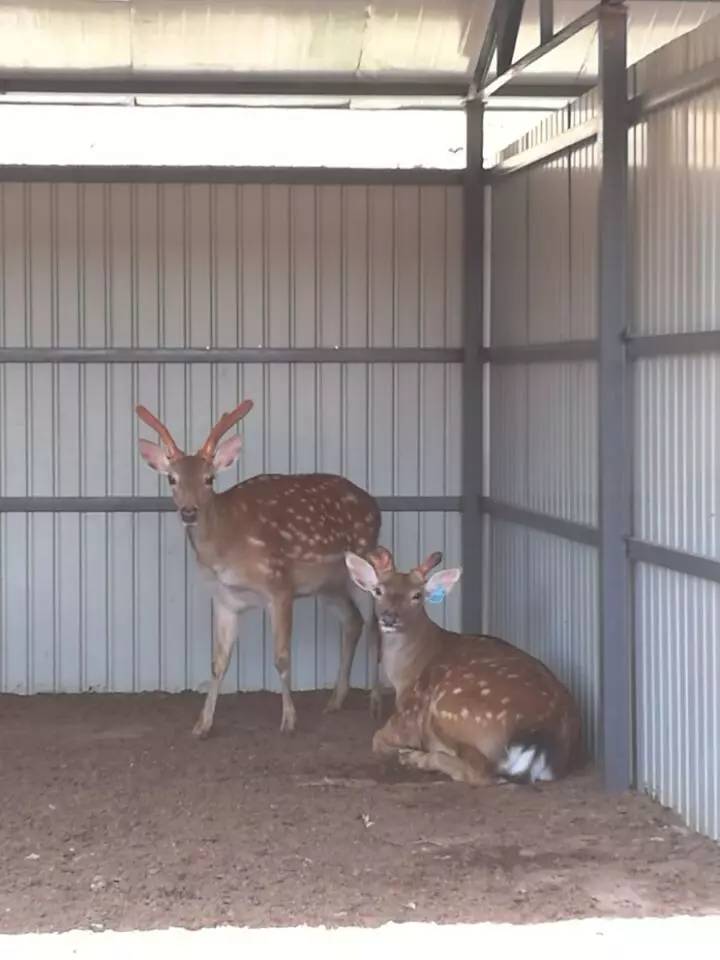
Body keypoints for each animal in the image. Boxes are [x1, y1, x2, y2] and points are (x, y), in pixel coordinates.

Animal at [136, 398, 382, 736]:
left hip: (364, 566)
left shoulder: (280, 585)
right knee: (352, 622)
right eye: (172, 479)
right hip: (329, 586)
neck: (226, 551)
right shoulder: (224, 598)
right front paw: (202, 725)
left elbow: (281, 657)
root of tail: (375, 505)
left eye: (209, 478)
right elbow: (218, 662)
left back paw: (374, 704)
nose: (188, 511)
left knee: (374, 626)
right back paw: (334, 700)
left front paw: (289, 720)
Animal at [346, 544, 584, 784]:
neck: (404, 675)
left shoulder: (408, 717)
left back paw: (416, 757)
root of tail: (542, 735)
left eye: (417, 595)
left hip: (455, 709)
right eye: (378, 590)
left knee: (479, 772)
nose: (389, 618)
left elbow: (378, 740)